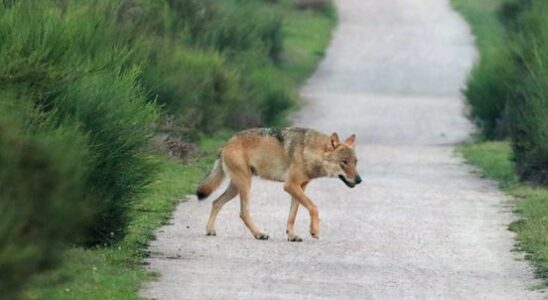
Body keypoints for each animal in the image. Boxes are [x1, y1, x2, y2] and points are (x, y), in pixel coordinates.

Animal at [195, 126, 362, 241]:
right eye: (344, 162)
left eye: (355, 162)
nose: (359, 180)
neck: (309, 152)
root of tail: (226, 143)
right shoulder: (290, 185)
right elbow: (314, 207)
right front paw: (314, 231)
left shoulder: (301, 187)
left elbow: (292, 216)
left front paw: (292, 236)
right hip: (245, 185)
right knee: (243, 213)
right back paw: (259, 234)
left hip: (235, 188)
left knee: (216, 202)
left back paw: (210, 230)